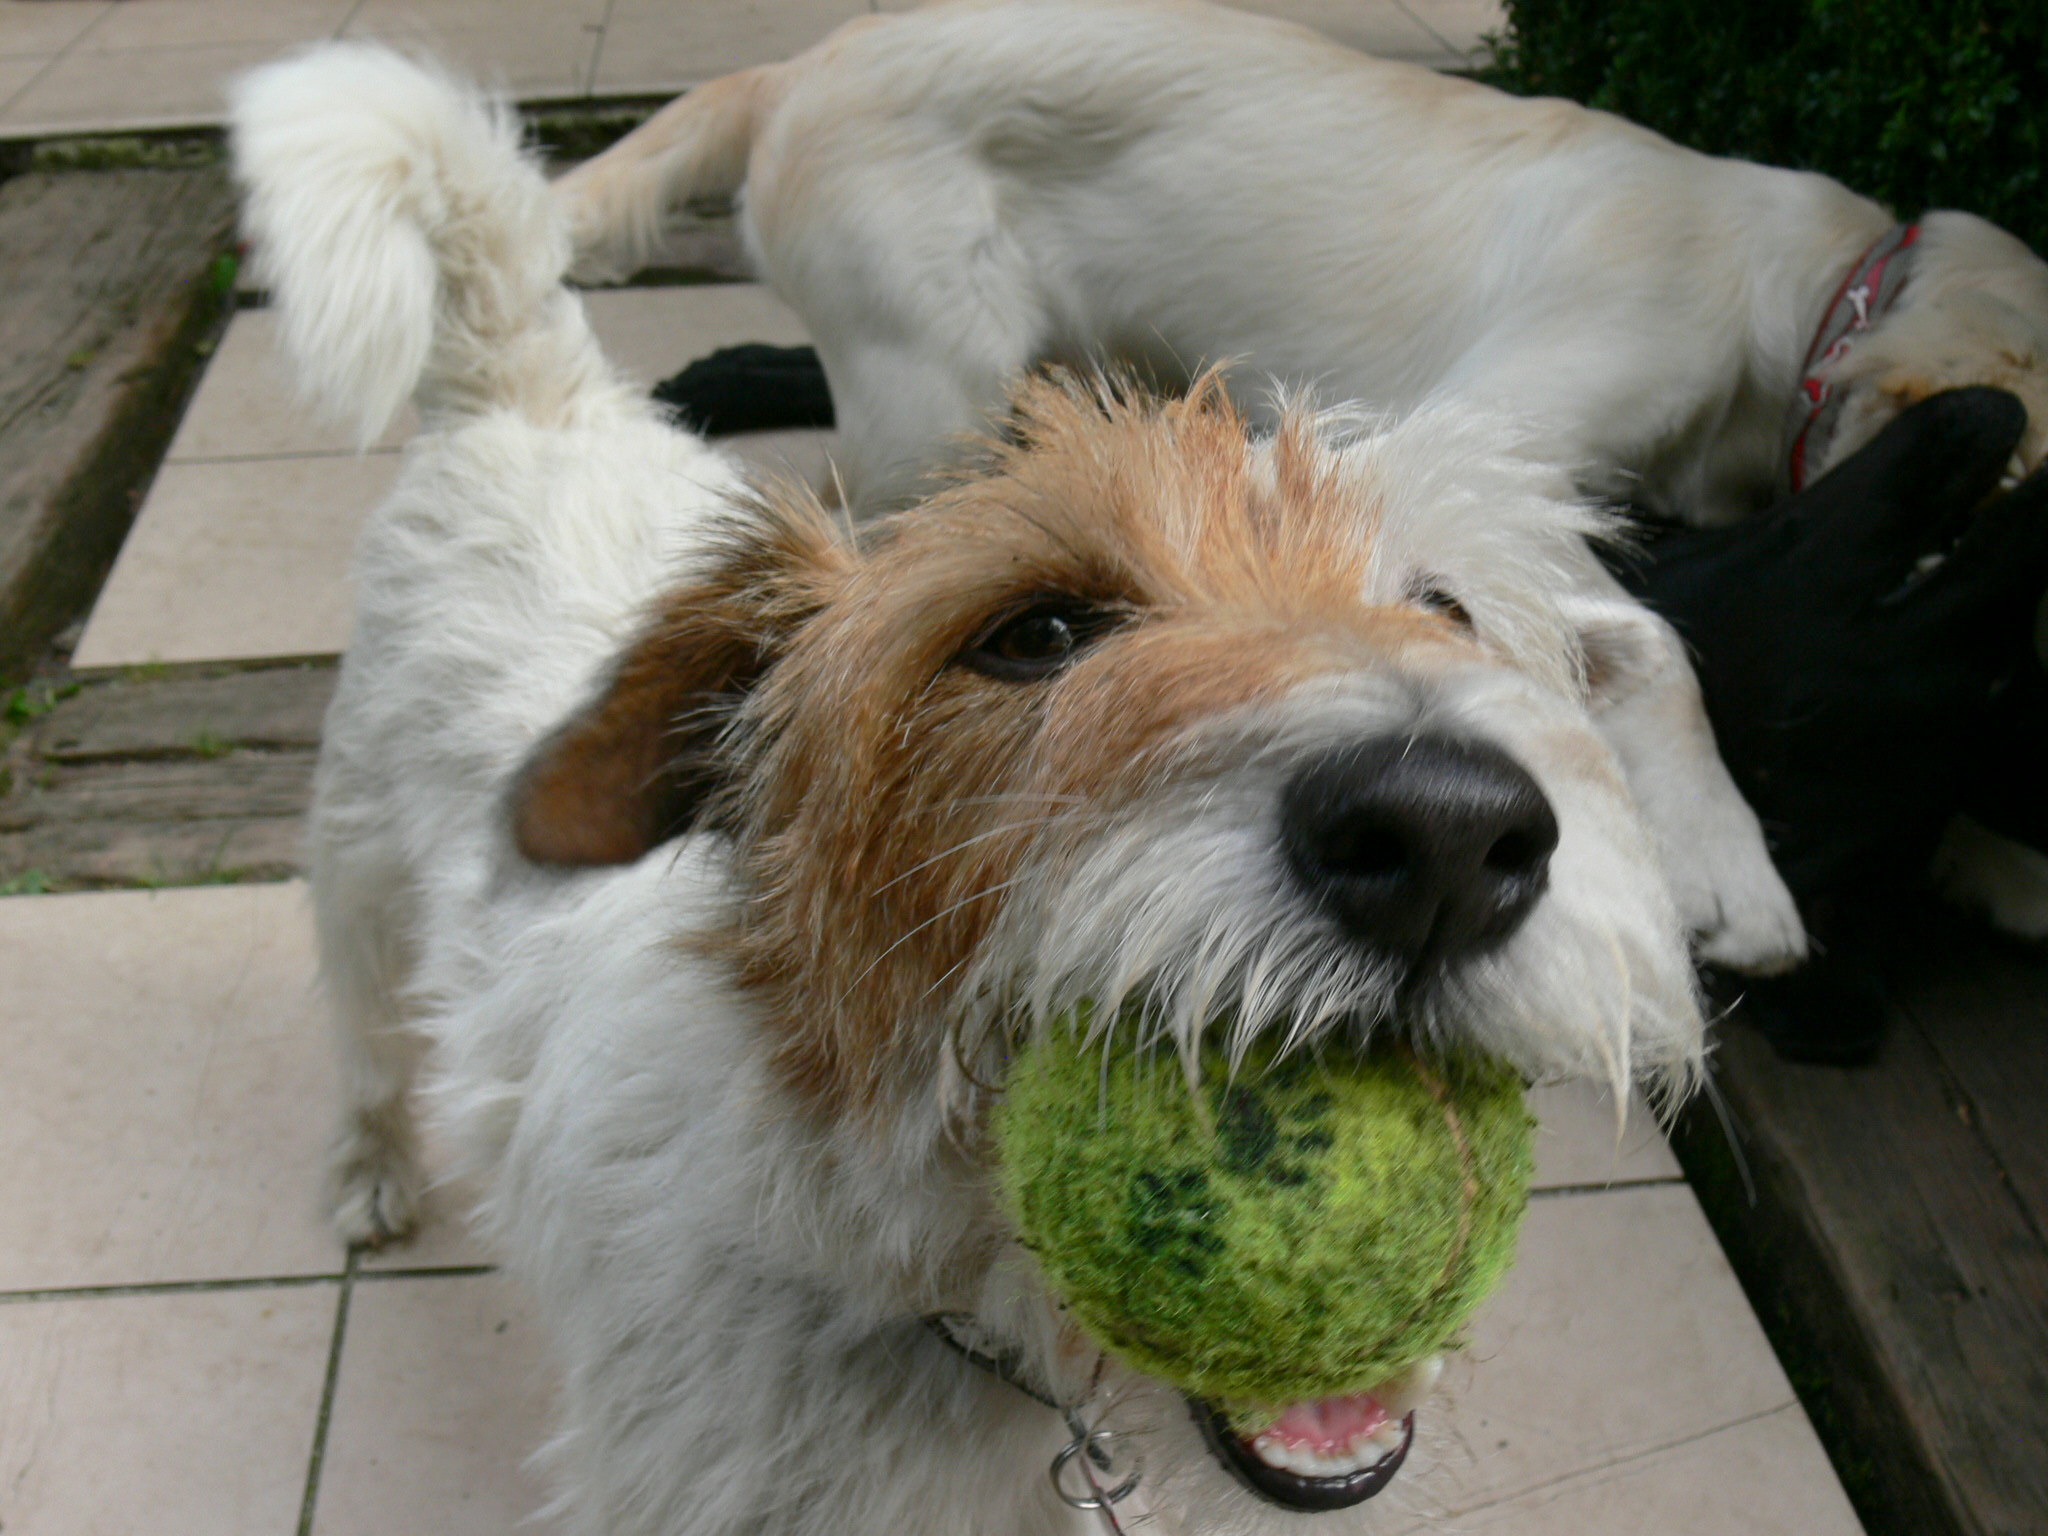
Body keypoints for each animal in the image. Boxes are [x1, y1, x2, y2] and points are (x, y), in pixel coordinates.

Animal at [235, 41, 1712, 1531]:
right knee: (364, 1037)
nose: (1447, 833)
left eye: (1446, 608)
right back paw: (369, 1171)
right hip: (354, 865)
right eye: (1037, 632)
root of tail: (530, 395)